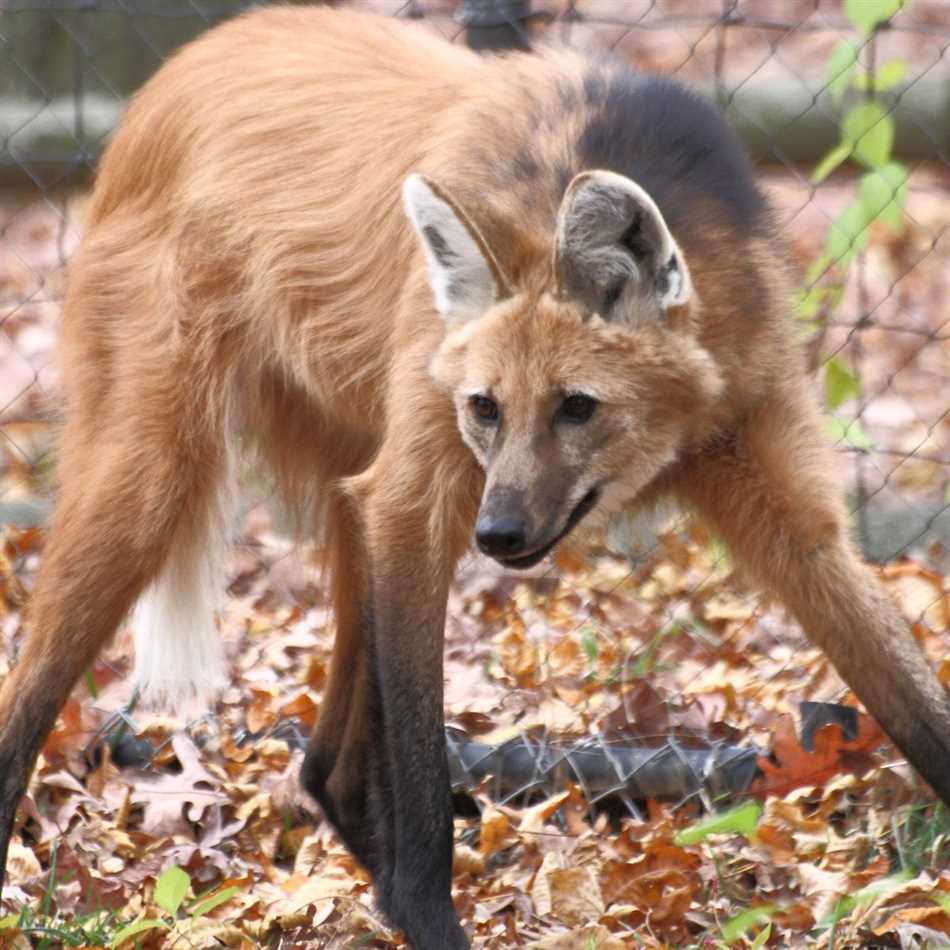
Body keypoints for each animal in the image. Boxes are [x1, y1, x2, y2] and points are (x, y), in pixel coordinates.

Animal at [1, 7, 950, 950]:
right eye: (487, 407)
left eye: (577, 407)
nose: (498, 536)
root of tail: (170, 76)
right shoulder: (420, 500)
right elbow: (422, 764)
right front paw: (429, 909)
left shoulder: (776, 490)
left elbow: (913, 699)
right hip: (157, 480)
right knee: (34, 696)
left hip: (352, 484)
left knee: (327, 765)